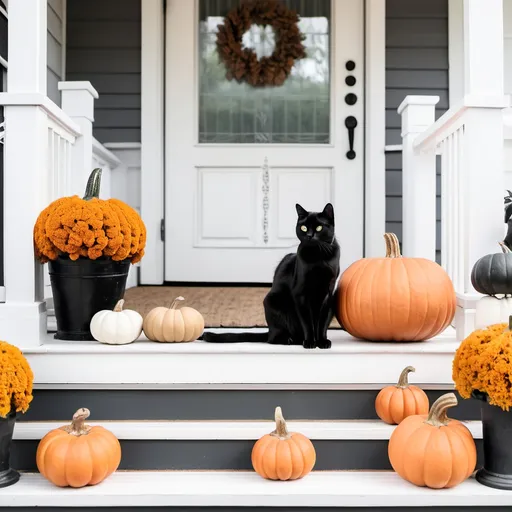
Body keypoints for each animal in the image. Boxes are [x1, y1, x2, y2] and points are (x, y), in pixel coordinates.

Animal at [200, 202, 340, 350]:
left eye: (319, 228)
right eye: (304, 228)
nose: (309, 235)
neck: (318, 257)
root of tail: (269, 330)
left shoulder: (328, 294)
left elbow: (322, 323)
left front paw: (322, 341)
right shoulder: (300, 294)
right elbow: (307, 322)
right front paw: (309, 342)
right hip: (273, 301)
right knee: (272, 339)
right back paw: (291, 339)